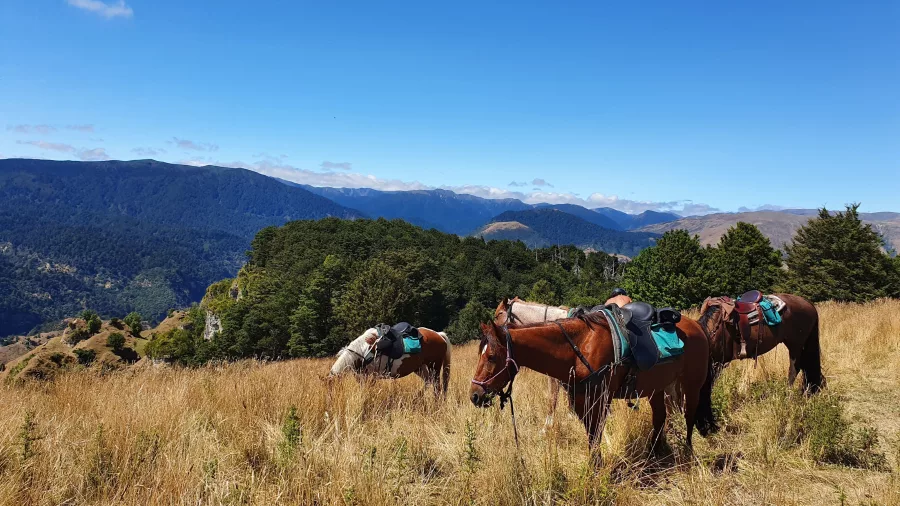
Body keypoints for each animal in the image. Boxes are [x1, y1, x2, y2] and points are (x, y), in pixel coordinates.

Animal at [469, 313, 711, 465]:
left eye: (491, 356)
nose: (475, 395)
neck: (579, 348)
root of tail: (697, 326)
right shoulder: (580, 401)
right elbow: (591, 435)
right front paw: (595, 466)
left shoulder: (600, 399)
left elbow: (595, 434)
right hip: (656, 388)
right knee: (660, 418)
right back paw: (652, 454)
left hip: (692, 385)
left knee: (689, 416)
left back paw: (687, 451)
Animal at [695, 293, 823, 433]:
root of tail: (808, 303)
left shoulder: (716, 364)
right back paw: (806, 392)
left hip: (795, 344)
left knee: (794, 369)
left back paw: (788, 396)